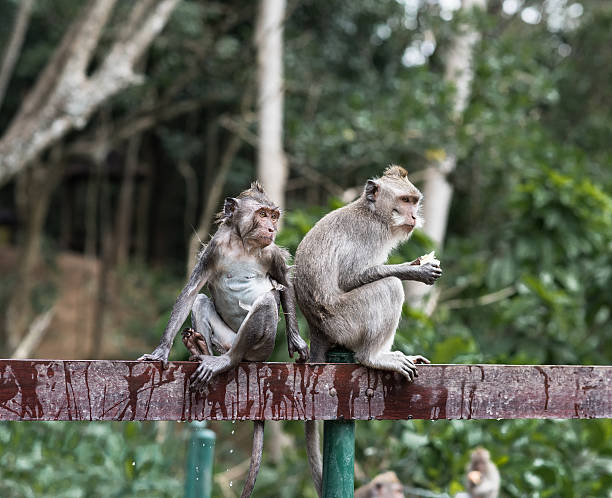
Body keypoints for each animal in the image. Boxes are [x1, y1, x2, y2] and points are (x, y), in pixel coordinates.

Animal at [294, 165, 442, 496]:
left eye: (414, 201)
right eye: (404, 200)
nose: (414, 216)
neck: (374, 214)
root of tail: (316, 329)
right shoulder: (369, 236)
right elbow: (352, 278)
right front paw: (413, 269)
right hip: (345, 321)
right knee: (388, 287)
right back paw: (375, 356)